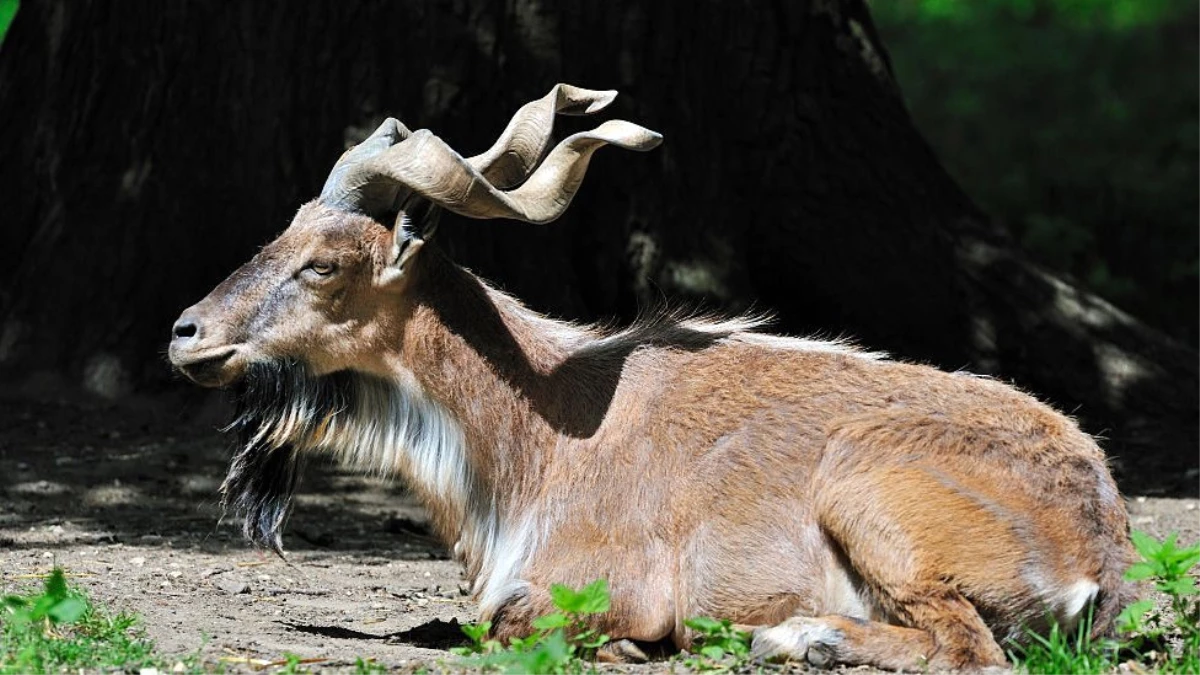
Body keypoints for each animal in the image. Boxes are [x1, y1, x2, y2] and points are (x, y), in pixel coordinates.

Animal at [171, 85, 1132, 667]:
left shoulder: (605, 585)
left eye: (324, 264)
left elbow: (508, 628)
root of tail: (1099, 549)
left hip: (867, 493)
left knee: (968, 648)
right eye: (283, 231)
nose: (187, 334)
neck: (538, 430)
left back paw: (799, 636)